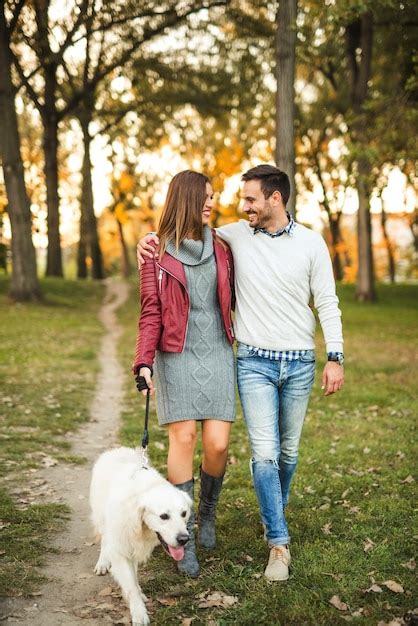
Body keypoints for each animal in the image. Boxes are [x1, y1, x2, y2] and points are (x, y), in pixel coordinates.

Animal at [90, 446, 192, 620]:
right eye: (164, 516)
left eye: (184, 513)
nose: (184, 539)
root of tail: (116, 450)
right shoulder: (121, 548)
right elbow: (130, 584)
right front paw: (139, 613)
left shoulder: (134, 547)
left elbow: (134, 577)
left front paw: (140, 594)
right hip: (102, 518)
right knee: (105, 540)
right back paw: (103, 562)